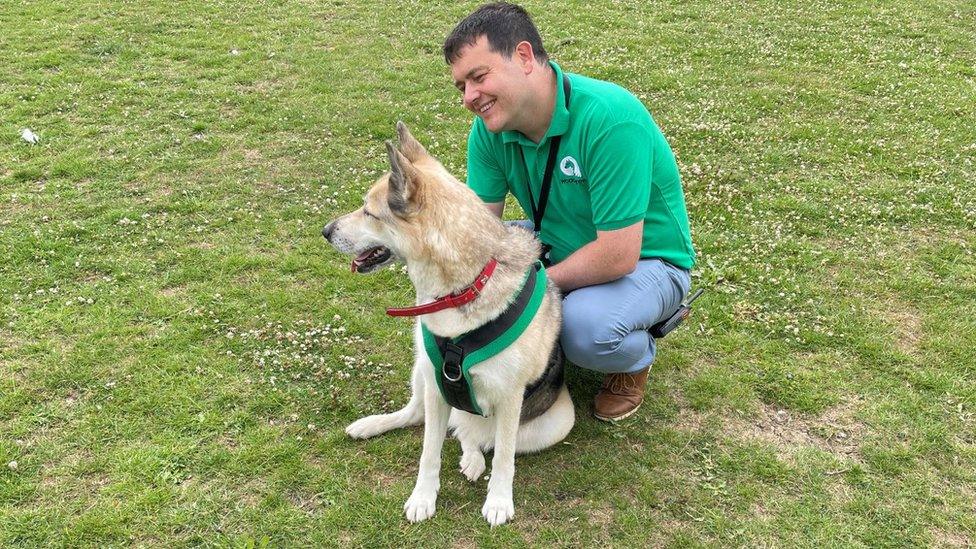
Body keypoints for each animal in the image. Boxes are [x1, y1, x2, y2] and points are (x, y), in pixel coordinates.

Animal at [324, 122, 576, 524]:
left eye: (370, 213)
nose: (326, 230)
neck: (463, 288)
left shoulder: (510, 397)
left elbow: (504, 459)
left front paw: (499, 500)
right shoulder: (436, 383)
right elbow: (429, 452)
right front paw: (423, 497)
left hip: (555, 422)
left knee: (481, 440)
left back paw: (473, 457)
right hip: (422, 372)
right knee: (421, 417)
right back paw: (372, 425)